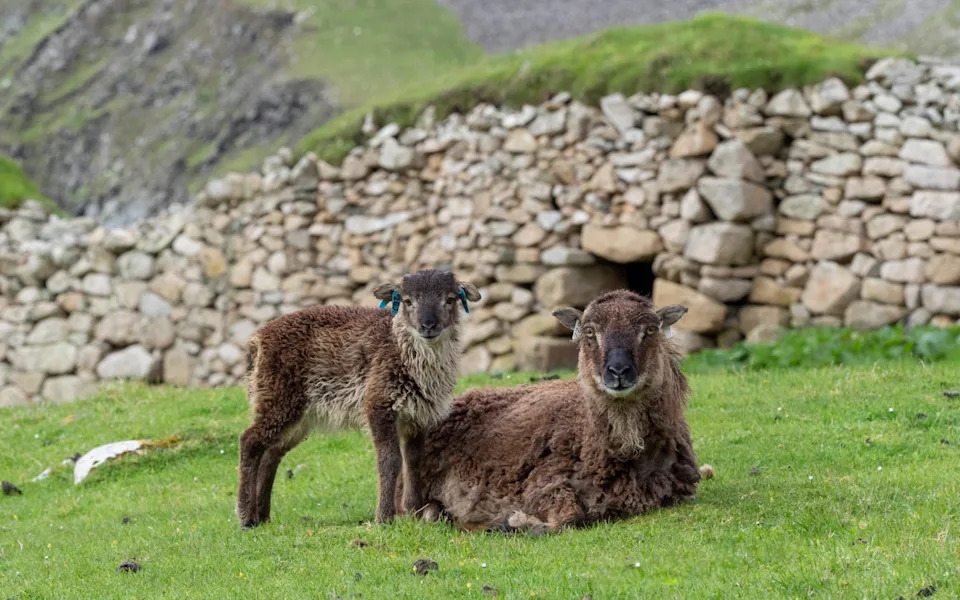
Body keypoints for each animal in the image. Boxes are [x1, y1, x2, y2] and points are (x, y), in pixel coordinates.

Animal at [236, 268, 480, 528]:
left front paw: (414, 512)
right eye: (407, 301)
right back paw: (245, 516)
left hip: (299, 416)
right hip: (278, 397)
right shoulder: (378, 403)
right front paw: (384, 518)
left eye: (450, 300)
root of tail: (256, 341)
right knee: (250, 441)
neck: (399, 347)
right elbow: (390, 460)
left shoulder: (418, 415)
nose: (428, 326)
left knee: (271, 453)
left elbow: (413, 462)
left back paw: (262, 517)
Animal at [407, 289, 703, 533]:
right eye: (590, 332)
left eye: (650, 330)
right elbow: (569, 519)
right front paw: (512, 522)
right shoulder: (543, 482)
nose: (618, 372)